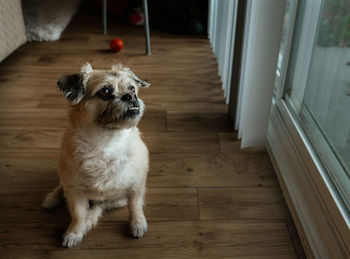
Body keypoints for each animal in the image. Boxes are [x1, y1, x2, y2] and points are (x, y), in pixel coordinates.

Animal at [41, 63, 150, 250]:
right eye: (105, 91)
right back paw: (52, 199)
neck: (105, 143)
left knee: (100, 206)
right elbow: (78, 215)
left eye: (132, 89)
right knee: (62, 187)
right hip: (67, 181)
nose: (131, 96)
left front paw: (137, 223)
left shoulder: (135, 187)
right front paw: (75, 231)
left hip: (118, 198)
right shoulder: (75, 193)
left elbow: (135, 207)